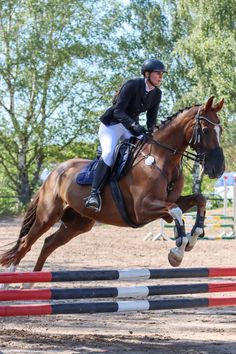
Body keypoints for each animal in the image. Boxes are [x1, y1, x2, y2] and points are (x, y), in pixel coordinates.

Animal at [0, 94, 225, 272]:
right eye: (206, 130)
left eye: (220, 130)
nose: (219, 169)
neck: (160, 159)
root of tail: (55, 172)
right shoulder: (142, 210)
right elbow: (176, 211)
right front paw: (177, 251)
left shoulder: (169, 204)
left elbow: (199, 199)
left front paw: (193, 238)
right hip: (47, 216)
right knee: (25, 243)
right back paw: (13, 281)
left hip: (78, 223)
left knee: (48, 244)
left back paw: (30, 283)